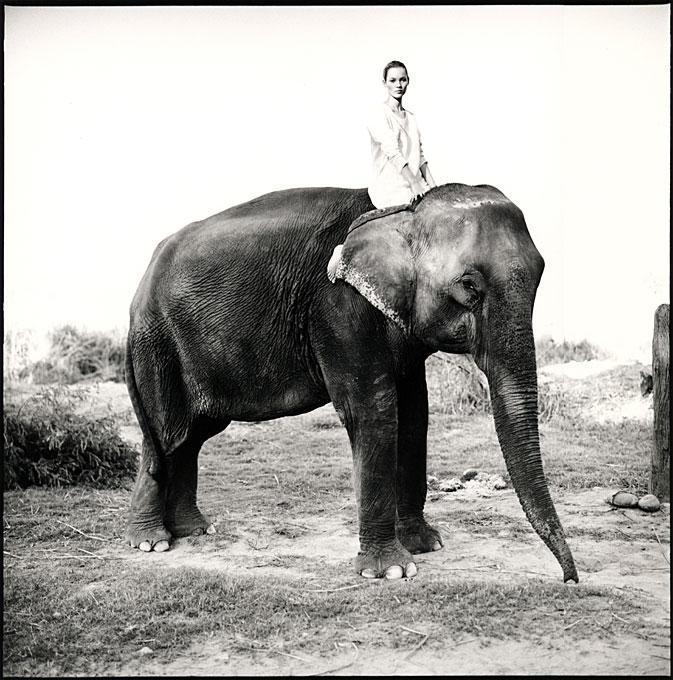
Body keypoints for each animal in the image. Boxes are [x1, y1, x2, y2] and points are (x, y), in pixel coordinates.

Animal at [124, 183, 576, 580]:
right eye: (469, 286)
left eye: (541, 274)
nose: (569, 579)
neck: (403, 210)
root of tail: (139, 288)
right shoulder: (338, 310)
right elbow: (373, 411)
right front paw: (392, 570)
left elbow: (414, 414)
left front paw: (424, 545)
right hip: (157, 344)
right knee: (167, 433)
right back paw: (152, 542)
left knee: (192, 436)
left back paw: (195, 531)